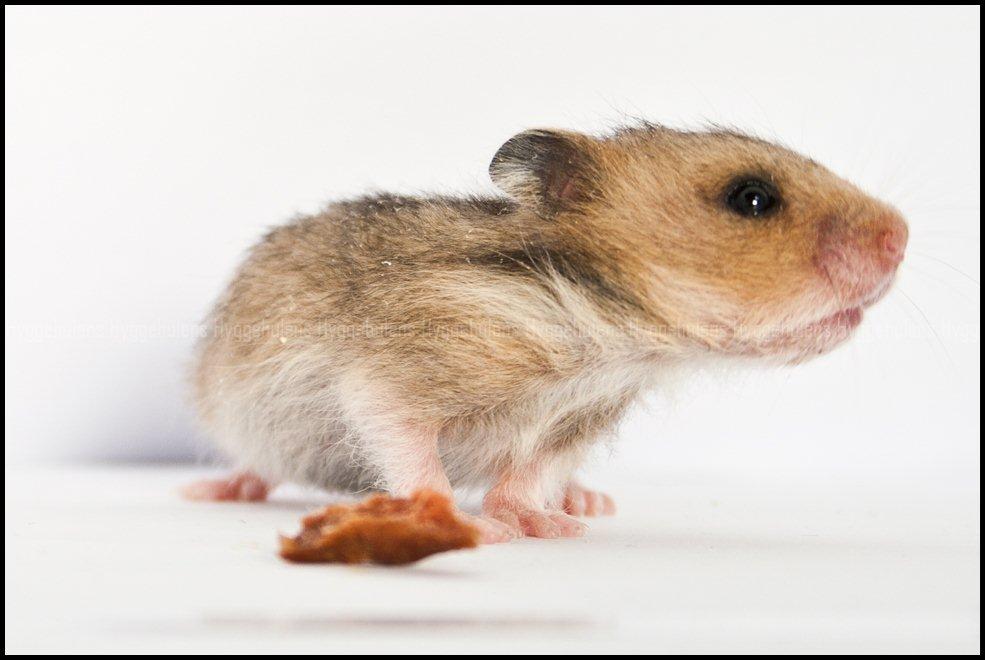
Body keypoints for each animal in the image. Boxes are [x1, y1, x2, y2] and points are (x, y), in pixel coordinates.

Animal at [185, 123, 908, 541]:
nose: (902, 235)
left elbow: (529, 473)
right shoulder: (390, 381)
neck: (601, 333)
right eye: (751, 198)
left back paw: (587, 502)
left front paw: (545, 524)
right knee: (253, 465)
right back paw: (206, 490)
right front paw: (470, 526)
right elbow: (415, 457)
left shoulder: (577, 419)